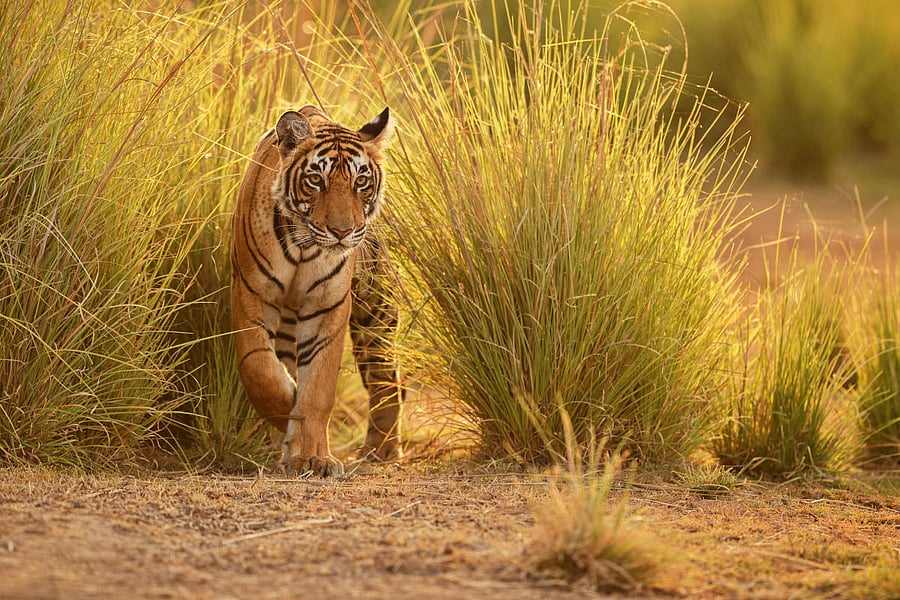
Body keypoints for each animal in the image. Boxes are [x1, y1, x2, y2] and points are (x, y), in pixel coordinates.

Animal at [231, 105, 401, 477]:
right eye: (315, 180)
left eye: (360, 182)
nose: (342, 231)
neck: (304, 246)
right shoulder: (252, 293)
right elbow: (261, 371)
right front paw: (288, 415)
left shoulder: (327, 305)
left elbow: (318, 387)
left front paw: (311, 457)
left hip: (376, 313)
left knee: (387, 380)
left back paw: (380, 450)